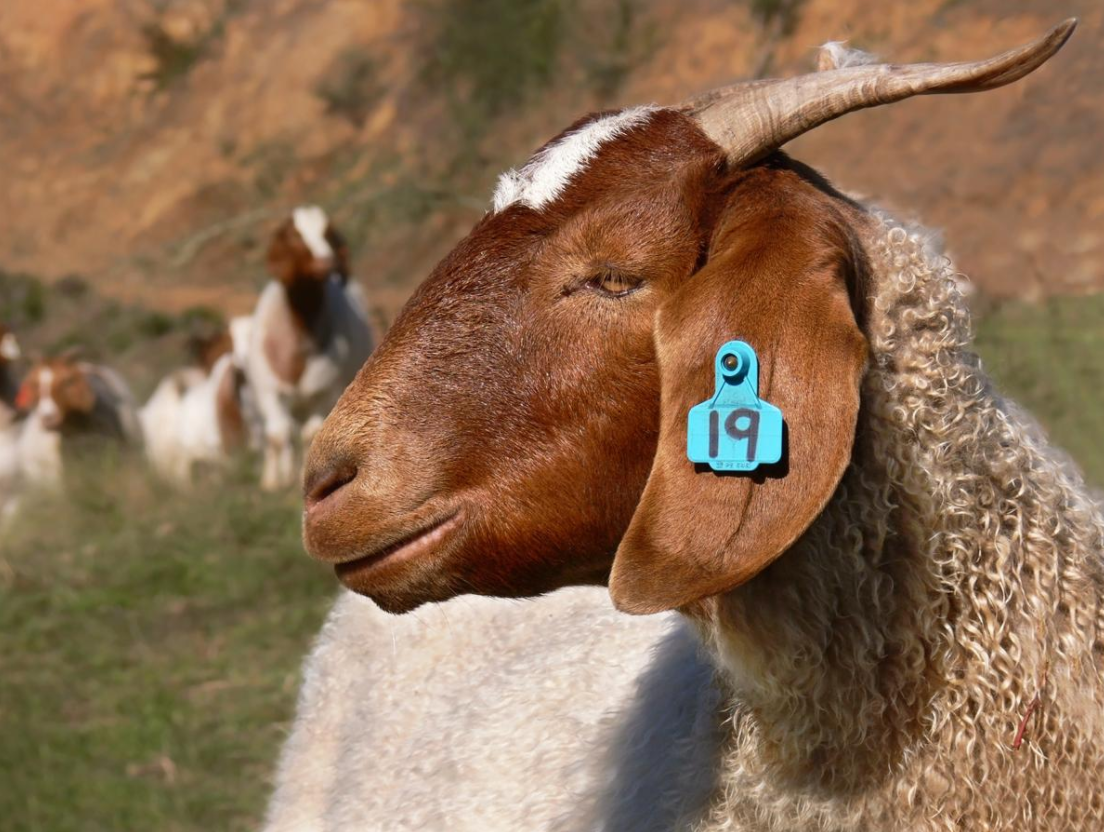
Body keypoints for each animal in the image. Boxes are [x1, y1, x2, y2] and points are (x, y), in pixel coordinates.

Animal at [245, 205, 374, 491]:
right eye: (294, 237)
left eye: (328, 234)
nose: (326, 263)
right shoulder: (268, 390)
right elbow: (277, 435)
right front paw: (276, 481)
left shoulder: (326, 392)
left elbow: (310, 435)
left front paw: (300, 480)